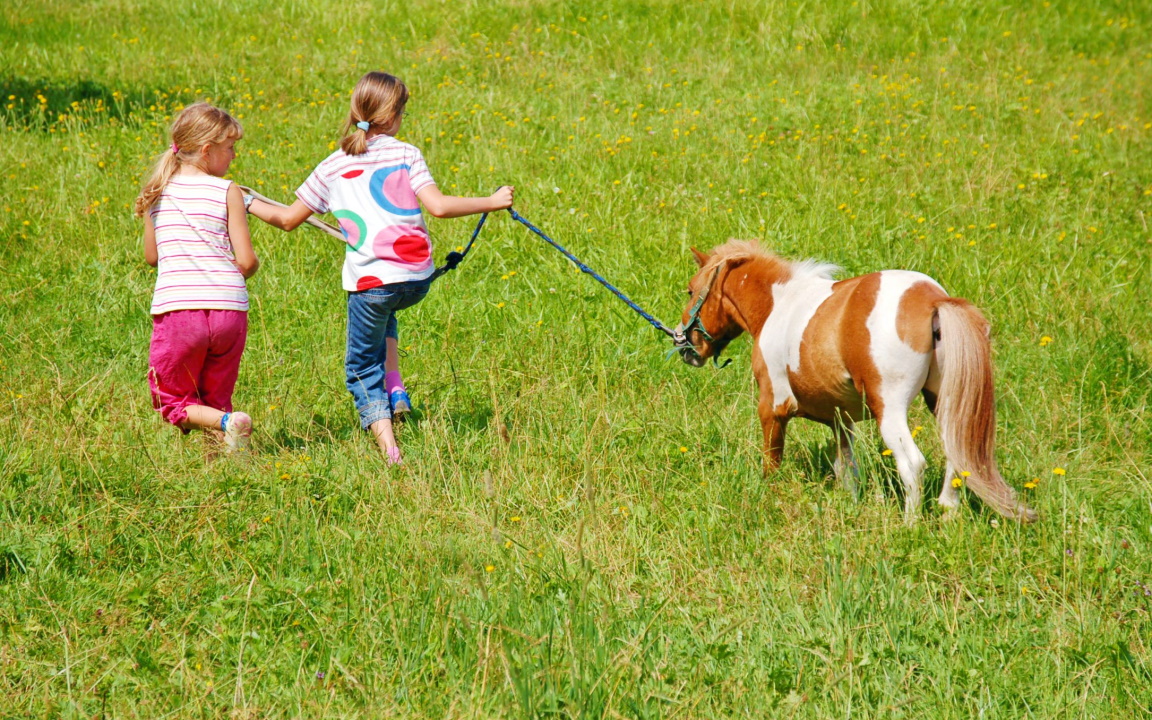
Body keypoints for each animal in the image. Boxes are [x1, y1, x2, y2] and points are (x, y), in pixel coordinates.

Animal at [676, 240, 1036, 524]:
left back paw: (910, 525)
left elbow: (772, 462)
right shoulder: (842, 420)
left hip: (889, 410)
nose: (685, 346)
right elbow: (846, 469)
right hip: (942, 402)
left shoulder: (772, 408)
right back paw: (948, 514)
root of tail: (932, 299)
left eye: (692, 290)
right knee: (956, 458)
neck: (778, 305)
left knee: (913, 464)